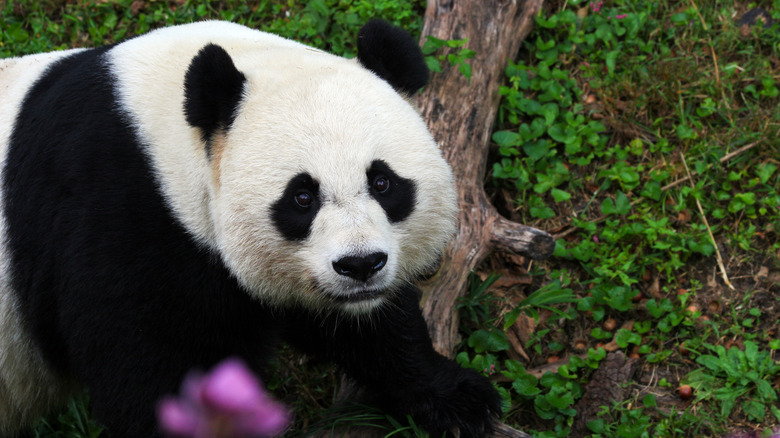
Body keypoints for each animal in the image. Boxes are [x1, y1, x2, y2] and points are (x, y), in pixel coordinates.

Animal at [0, 18, 500, 438]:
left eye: (382, 182)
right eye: (302, 197)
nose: (360, 265)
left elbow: (370, 328)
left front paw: (459, 398)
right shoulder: (118, 218)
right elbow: (153, 375)